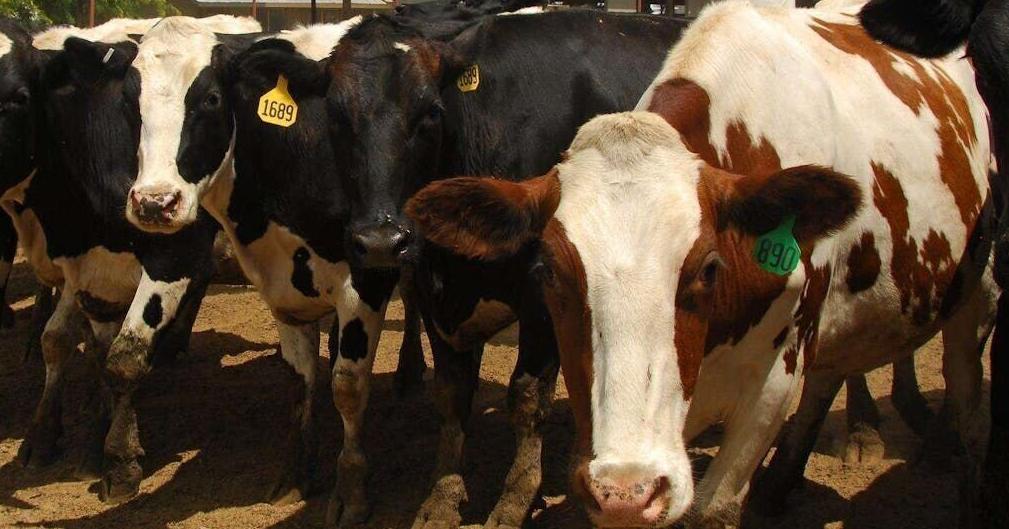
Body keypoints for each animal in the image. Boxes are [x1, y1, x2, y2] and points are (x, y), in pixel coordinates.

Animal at [0, 15, 261, 505]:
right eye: (126, 99)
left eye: (18, 98)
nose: (153, 203)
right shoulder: (90, 268)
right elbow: (78, 346)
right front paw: (70, 436)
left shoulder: (174, 252)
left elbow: (124, 357)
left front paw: (119, 460)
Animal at [404, 2, 996, 527]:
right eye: (548, 270)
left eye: (709, 267)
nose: (625, 490)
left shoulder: (771, 384)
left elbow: (714, 507)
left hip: (978, 296)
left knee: (969, 399)